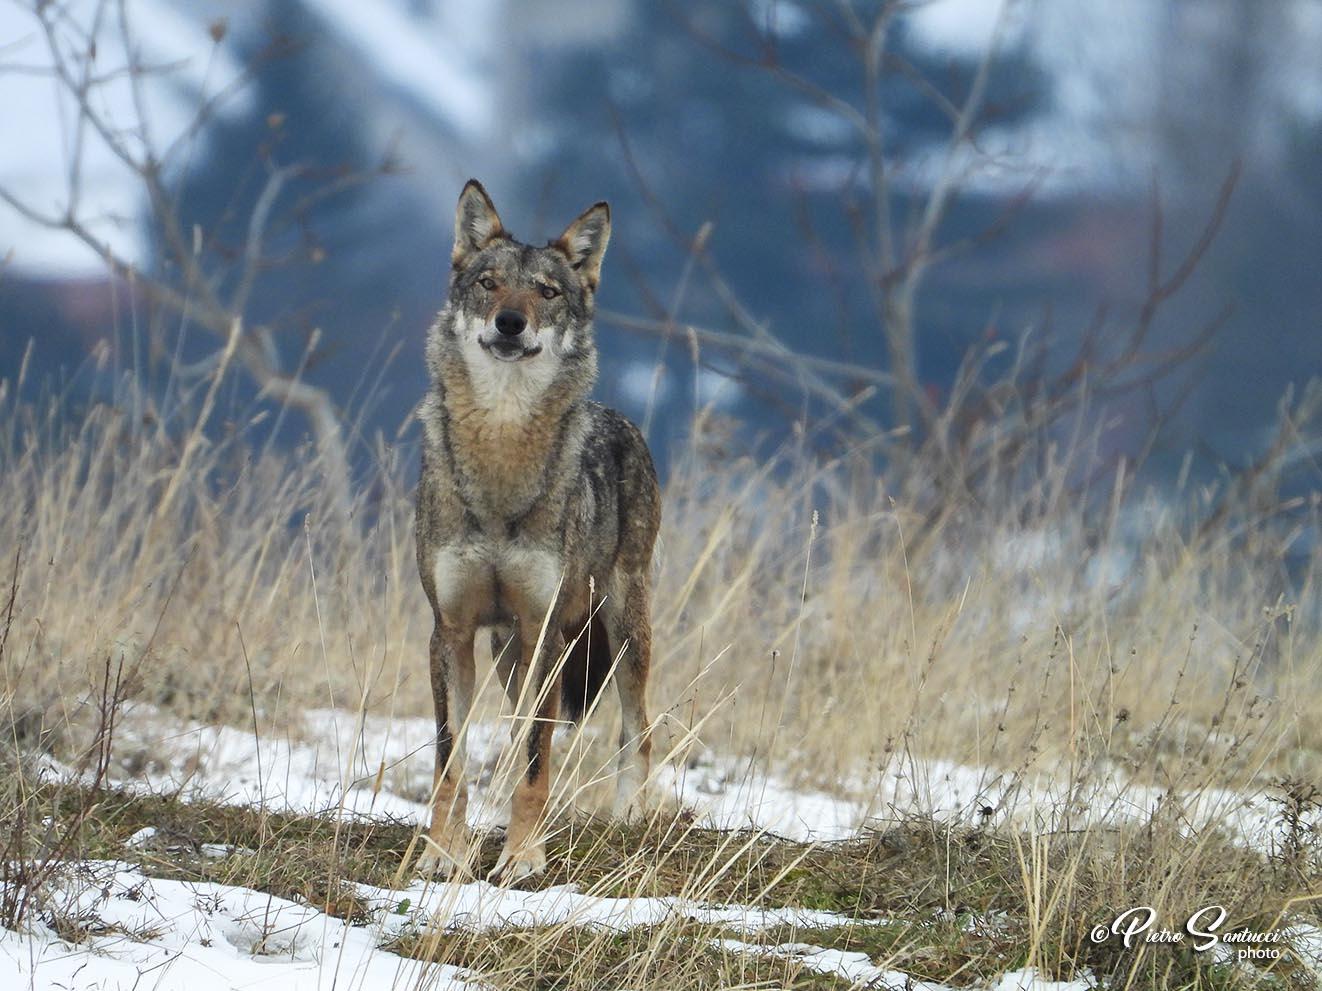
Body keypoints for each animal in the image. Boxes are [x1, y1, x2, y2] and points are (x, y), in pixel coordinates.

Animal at [412, 178, 661, 882]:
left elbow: (532, 761)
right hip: (508, 653)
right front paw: (444, 855)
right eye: (489, 284)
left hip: (621, 629)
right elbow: (449, 761)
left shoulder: (546, 630)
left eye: (547, 293)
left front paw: (522, 860)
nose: (510, 322)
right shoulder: (450, 631)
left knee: (636, 731)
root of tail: (621, 420)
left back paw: (627, 819)